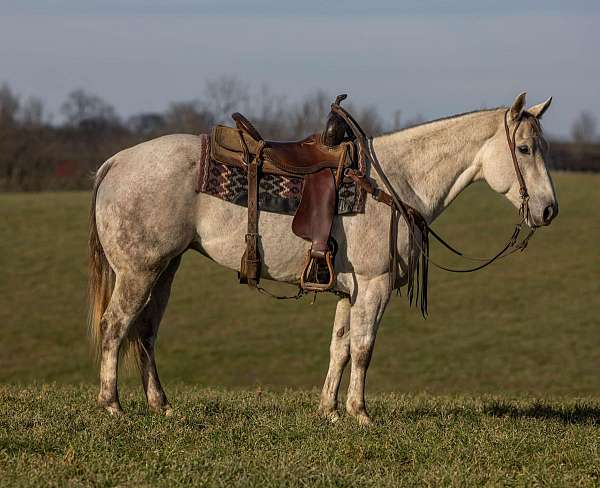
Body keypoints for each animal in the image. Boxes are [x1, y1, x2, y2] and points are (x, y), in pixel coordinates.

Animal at [89, 93, 556, 426]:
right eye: (524, 149)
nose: (549, 210)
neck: (397, 181)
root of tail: (116, 161)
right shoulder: (374, 285)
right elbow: (363, 348)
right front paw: (360, 412)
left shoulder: (350, 292)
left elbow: (340, 347)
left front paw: (329, 410)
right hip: (138, 272)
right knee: (116, 326)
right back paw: (112, 405)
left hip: (164, 270)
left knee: (145, 332)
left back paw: (160, 404)